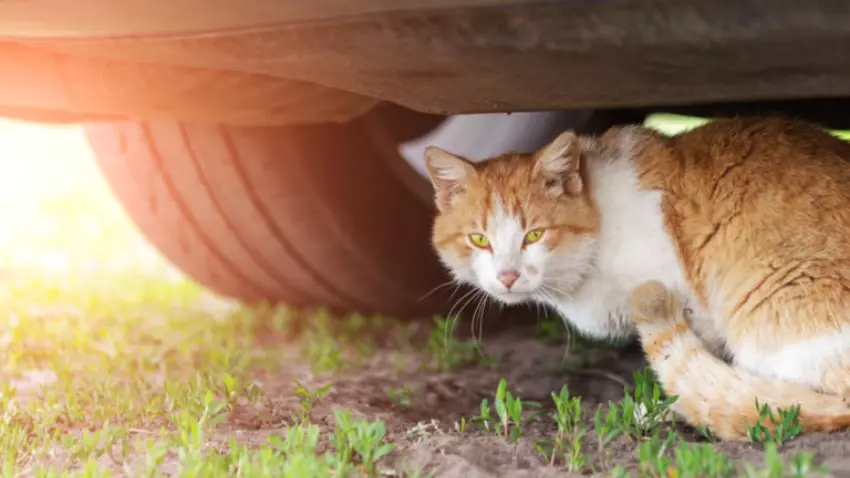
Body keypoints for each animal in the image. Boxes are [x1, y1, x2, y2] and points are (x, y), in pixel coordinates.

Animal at [424, 116, 850, 440]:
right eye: (479, 240)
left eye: (534, 235)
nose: (508, 275)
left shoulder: (694, 305)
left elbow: (700, 376)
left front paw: (670, 409)